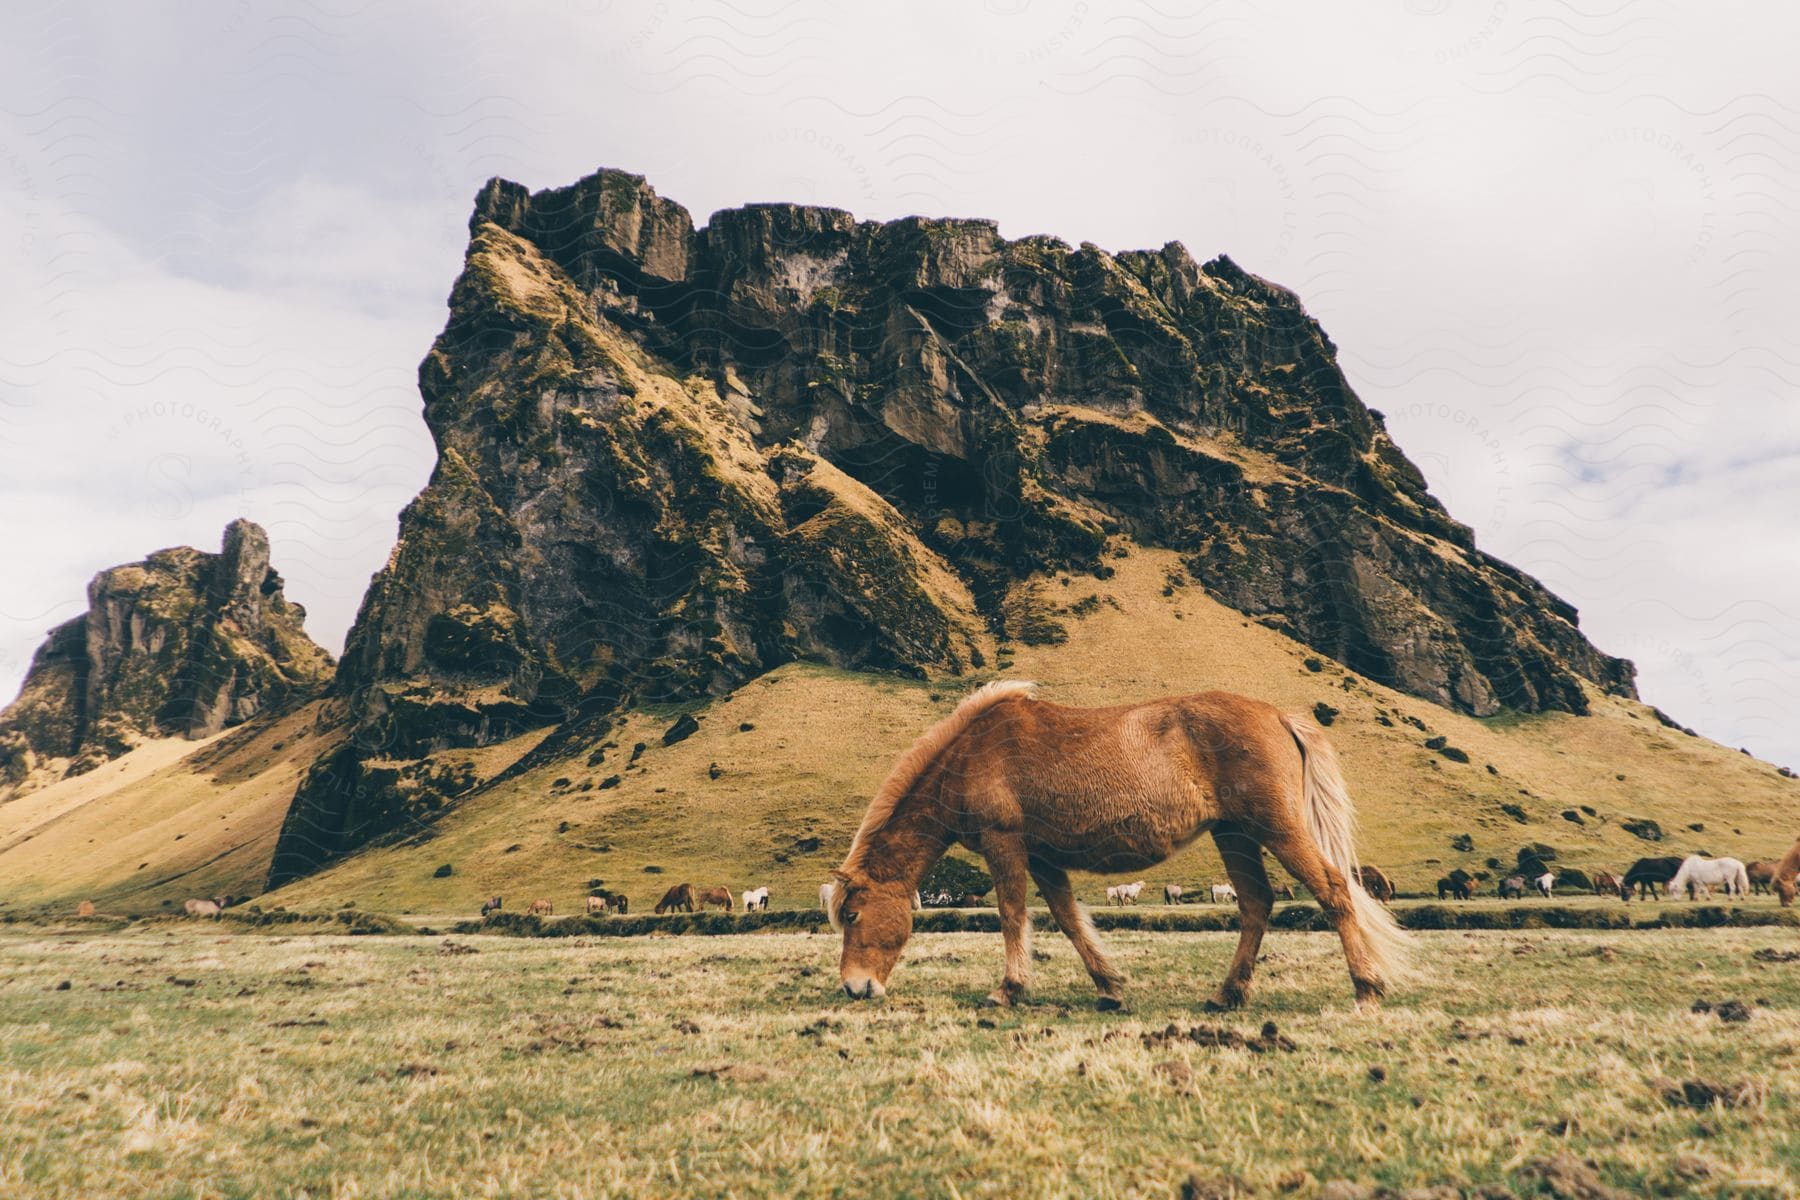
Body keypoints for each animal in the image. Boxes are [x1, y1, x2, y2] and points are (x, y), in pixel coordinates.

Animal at [828, 683, 1404, 1014]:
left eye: (852, 914)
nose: (855, 988)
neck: (970, 754)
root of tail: (1279, 717)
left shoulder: (1005, 844)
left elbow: (1012, 915)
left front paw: (1008, 990)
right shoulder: (1042, 856)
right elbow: (1069, 920)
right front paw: (1108, 986)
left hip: (1275, 828)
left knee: (1333, 890)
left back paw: (1366, 989)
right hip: (1234, 834)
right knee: (1256, 903)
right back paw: (1228, 994)